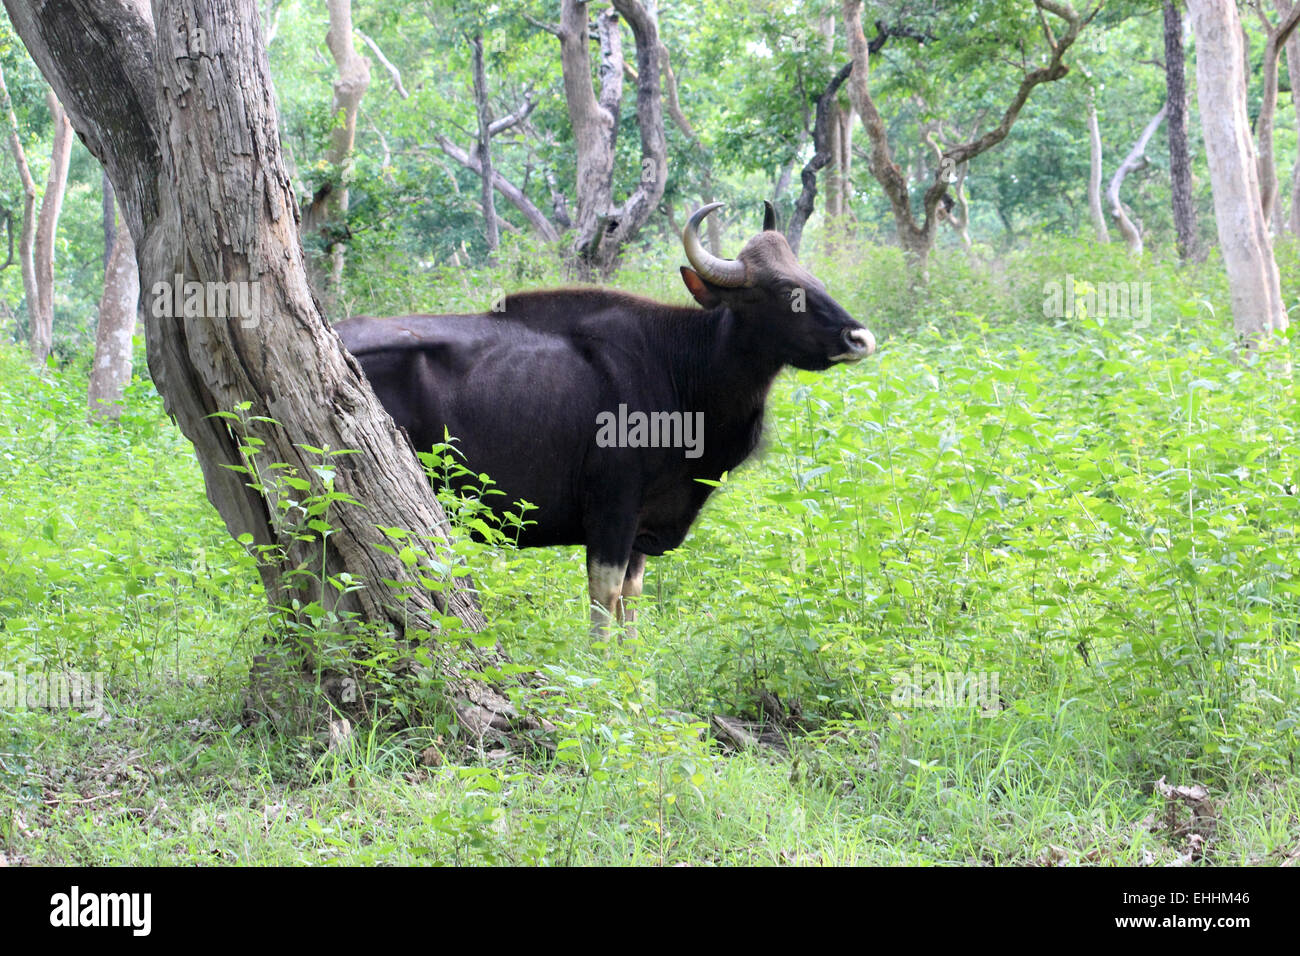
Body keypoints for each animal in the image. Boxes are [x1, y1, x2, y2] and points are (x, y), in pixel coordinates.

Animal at [340, 205, 878, 632]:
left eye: (813, 279)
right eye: (785, 291)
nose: (860, 338)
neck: (681, 367)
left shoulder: (641, 522)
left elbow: (632, 601)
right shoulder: (611, 510)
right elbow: (605, 598)